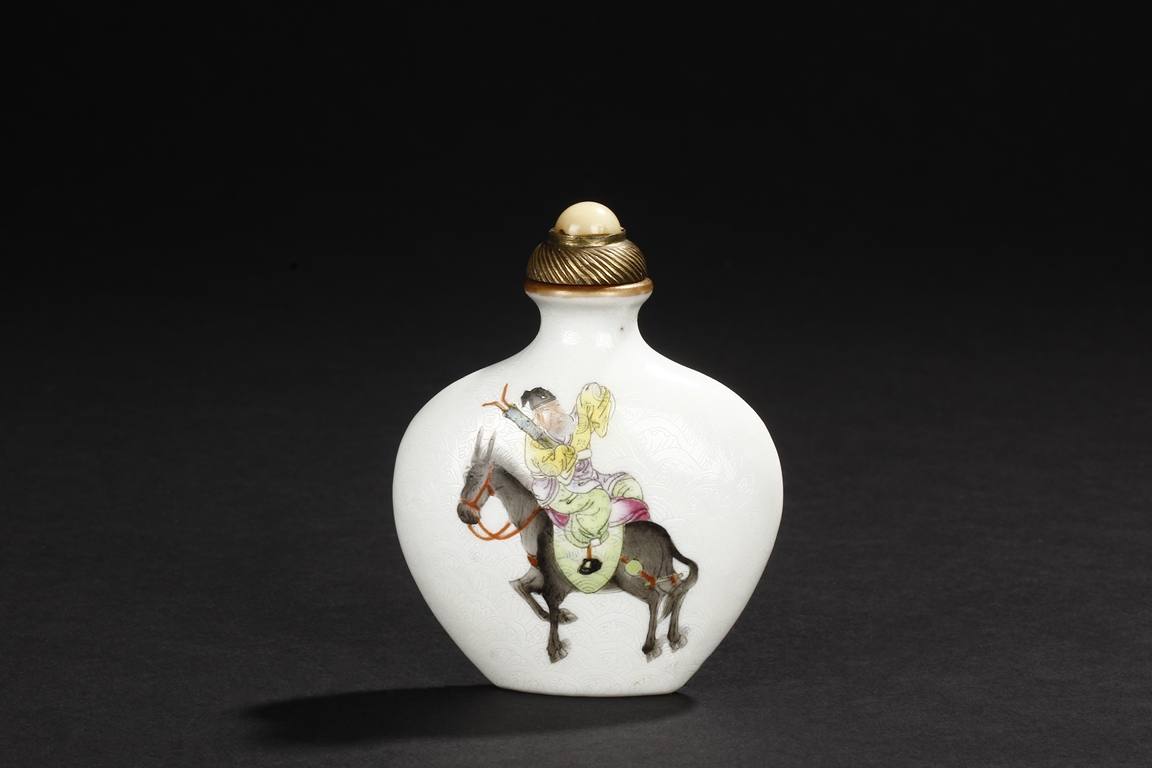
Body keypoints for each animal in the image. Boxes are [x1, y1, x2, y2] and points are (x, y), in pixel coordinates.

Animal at [456, 431, 698, 663]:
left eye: (472, 477)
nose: (463, 513)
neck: (536, 524)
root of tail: (664, 536)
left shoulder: (554, 584)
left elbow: (550, 608)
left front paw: (554, 648)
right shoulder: (538, 574)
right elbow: (519, 586)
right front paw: (557, 618)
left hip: (631, 579)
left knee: (656, 598)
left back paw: (650, 645)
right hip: (662, 573)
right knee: (678, 590)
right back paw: (674, 637)